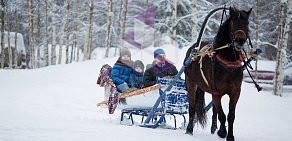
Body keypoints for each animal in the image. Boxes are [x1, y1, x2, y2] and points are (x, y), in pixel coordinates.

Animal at [185, 6, 251, 141]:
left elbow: (230, 116)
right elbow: (222, 115)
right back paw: (189, 129)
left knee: (215, 110)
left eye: (247, 23)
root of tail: (193, 48)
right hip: (191, 83)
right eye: (233, 22)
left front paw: (229, 135)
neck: (228, 63)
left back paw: (214, 128)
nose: (240, 40)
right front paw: (223, 132)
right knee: (192, 107)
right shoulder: (216, 92)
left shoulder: (235, 92)